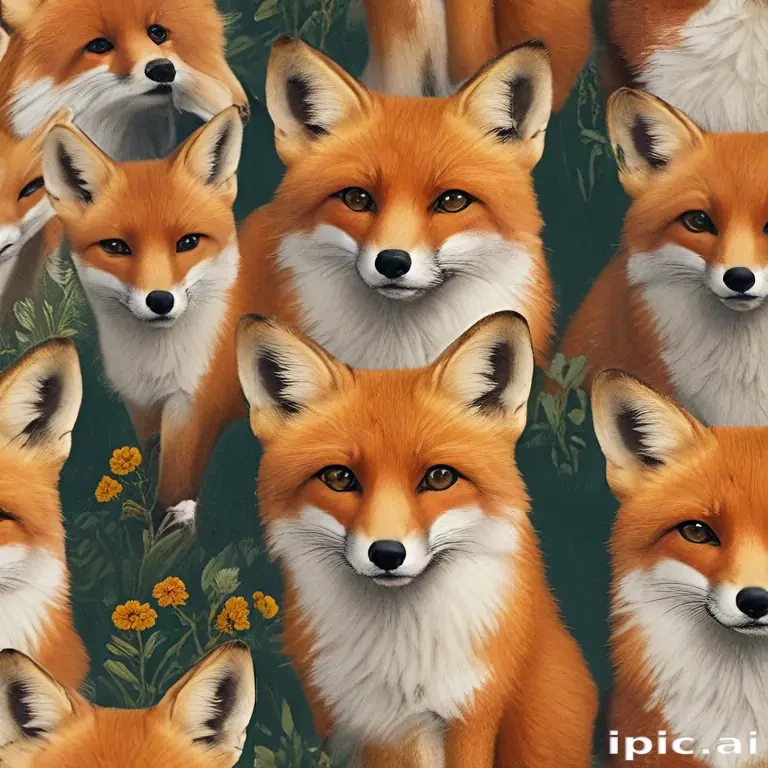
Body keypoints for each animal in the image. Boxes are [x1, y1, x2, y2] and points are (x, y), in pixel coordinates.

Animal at [40, 106, 278, 526]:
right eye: (116, 247)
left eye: (188, 242)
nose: (161, 301)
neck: (158, 363)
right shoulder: (143, 410)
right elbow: (153, 478)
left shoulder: (192, 411)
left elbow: (174, 492)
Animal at [235, 311, 598, 767]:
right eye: (339, 477)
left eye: (440, 477)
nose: (387, 554)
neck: (398, 659)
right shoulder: (353, 720)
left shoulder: (472, 711)